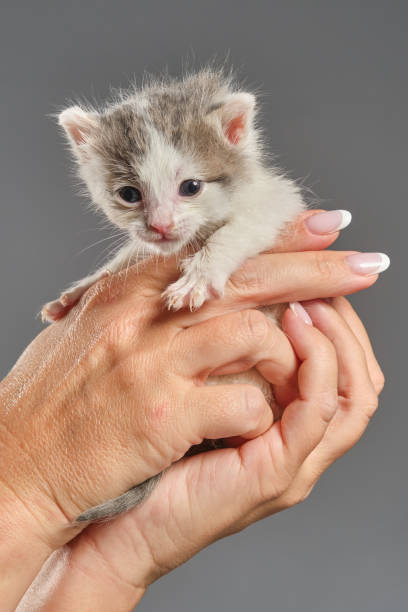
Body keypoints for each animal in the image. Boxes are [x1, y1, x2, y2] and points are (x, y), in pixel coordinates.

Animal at [43, 69, 308, 524]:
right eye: (129, 194)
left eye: (191, 187)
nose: (162, 226)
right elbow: (131, 253)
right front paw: (82, 288)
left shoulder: (277, 203)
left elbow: (237, 230)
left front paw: (201, 274)